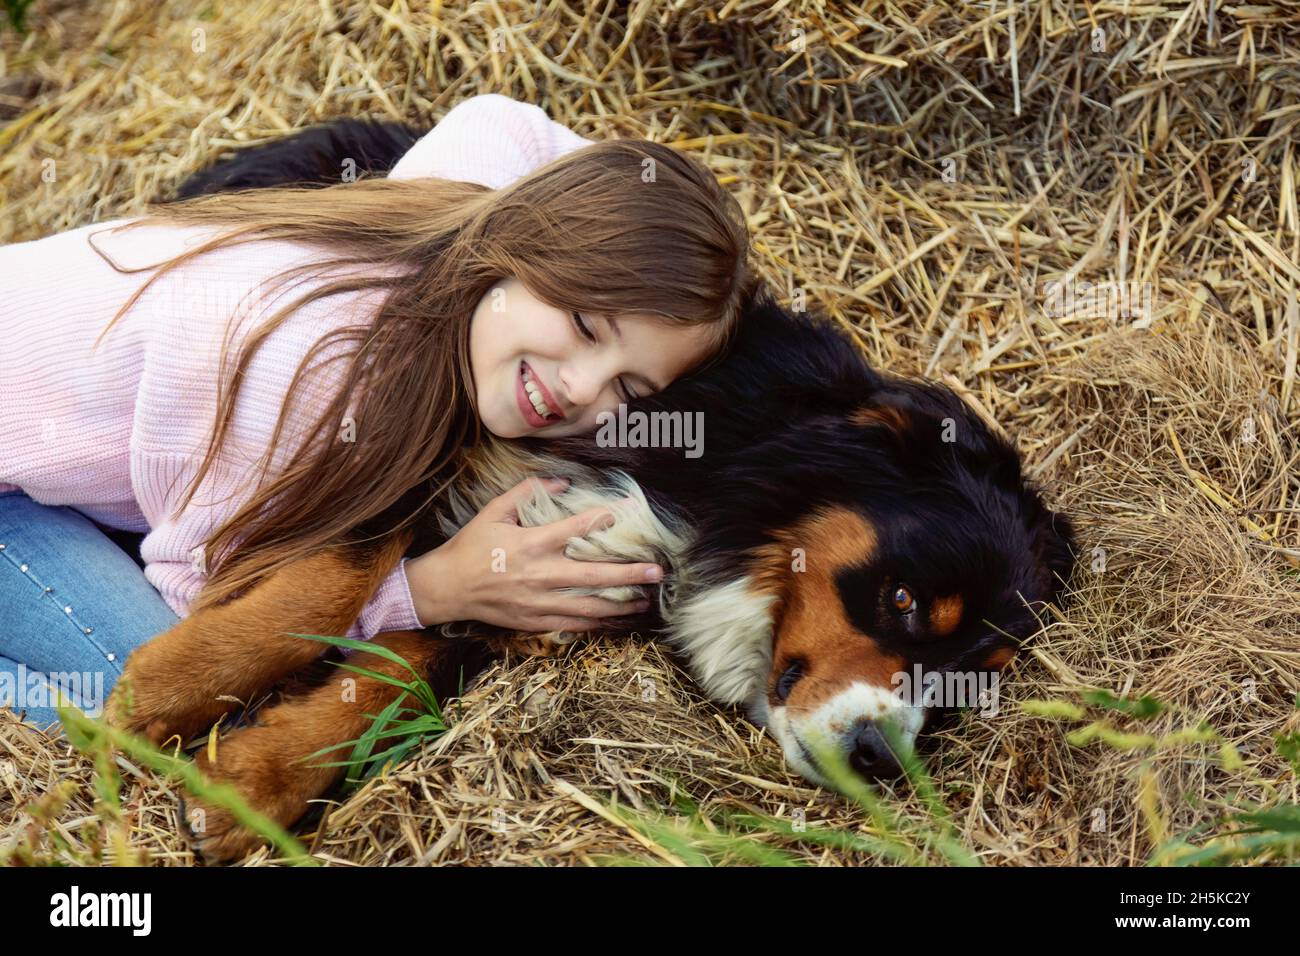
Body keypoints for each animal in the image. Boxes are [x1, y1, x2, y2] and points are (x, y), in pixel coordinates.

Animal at [104, 115, 1076, 863]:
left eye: (973, 681)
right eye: (903, 599)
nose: (882, 756)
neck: (726, 491)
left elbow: (396, 676)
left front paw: (251, 787)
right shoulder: (427, 434)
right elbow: (340, 572)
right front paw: (169, 690)